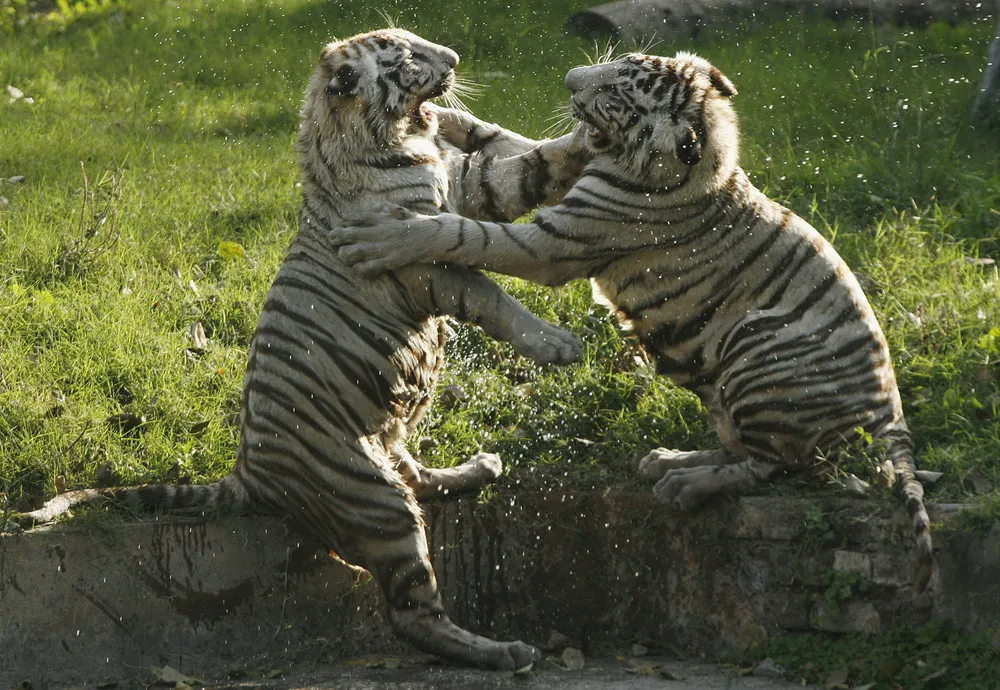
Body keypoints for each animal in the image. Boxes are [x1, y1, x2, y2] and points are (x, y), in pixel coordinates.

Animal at [16, 29, 592, 669]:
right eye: (407, 58)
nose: (455, 61)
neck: (394, 141)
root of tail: (248, 474)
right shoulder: (422, 264)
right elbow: (490, 294)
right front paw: (558, 344)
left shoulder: (470, 190)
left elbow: (532, 168)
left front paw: (593, 130)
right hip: (374, 500)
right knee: (411, 611)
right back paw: (500, 651)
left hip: (388, 439)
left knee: (417, 478)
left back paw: (478, 468)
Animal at [331, 50, 935, 591]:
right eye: (617, 62)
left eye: (617, 95)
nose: (569, 77)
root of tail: (892, 416)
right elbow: (506, 138)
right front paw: (442, 115)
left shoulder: (554, 244)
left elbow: (462, 233)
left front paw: (385, 237)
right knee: (752, 448)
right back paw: (669, 461)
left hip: (758, 343)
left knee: (779, 463)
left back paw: (687, 484)